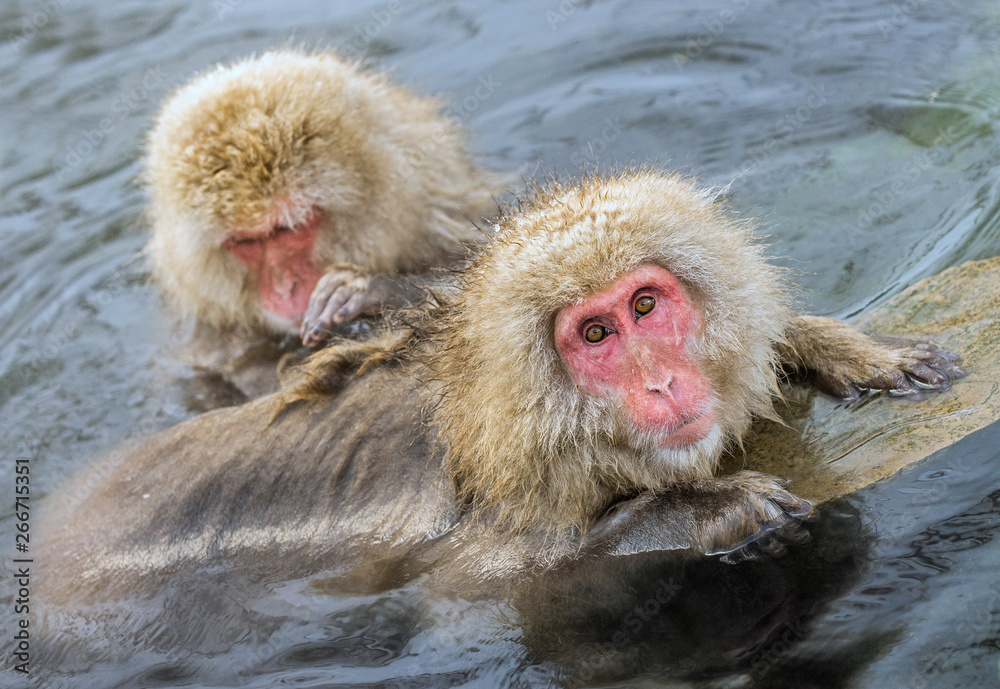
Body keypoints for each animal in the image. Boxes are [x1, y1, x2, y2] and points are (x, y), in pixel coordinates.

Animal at [34, 170, 964, 671]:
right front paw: (695, 514)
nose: (664, 382)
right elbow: (481, 593)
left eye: (646, 304)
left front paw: (846, 350)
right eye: (595, 334)